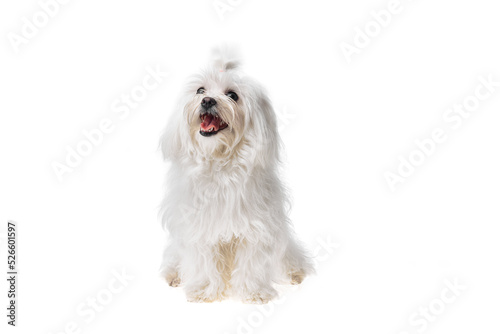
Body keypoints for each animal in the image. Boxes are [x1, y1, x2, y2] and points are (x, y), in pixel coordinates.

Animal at [159, 48, 312, 304]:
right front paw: (204, 289)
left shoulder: (256, 228)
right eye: (200, 90)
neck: (220, 163)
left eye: (232, 95)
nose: (207, 101)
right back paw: (174, 275)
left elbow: (251, 262)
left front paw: (254, 292)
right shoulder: (199, 226)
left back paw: (294, 273)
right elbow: (204, 260)